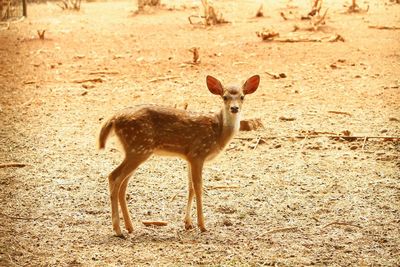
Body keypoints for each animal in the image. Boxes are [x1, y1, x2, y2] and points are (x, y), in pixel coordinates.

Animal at [98, 74, 260, 238]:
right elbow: (198, 187)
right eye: (225, 97)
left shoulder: (188, 157)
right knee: (114, 177)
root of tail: (113, 119)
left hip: (136, 151)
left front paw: (188, 224)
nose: (234, 108)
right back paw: (118, 230)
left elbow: (190, 188)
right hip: (138, 148)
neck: (218, 133)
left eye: (242, 96)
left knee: (122, 183)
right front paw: (202, 225)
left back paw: (129, 227)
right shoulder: (198, 153)